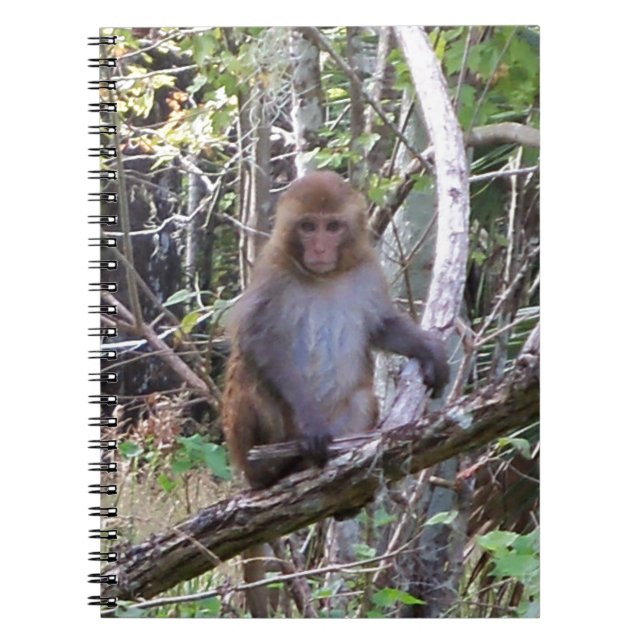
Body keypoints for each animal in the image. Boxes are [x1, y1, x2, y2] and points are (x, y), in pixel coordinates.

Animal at [221, 171, 449, 616]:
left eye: (333, 227)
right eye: (308, 226)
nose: (321, 248)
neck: (323, 277)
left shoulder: (367, 270)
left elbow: (381, 326)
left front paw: (427, 348)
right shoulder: (271, 272)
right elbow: (259, 343)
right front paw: (309, 419)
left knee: (360, 398)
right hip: (246, 440)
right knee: (249, 373)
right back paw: (271, 470)